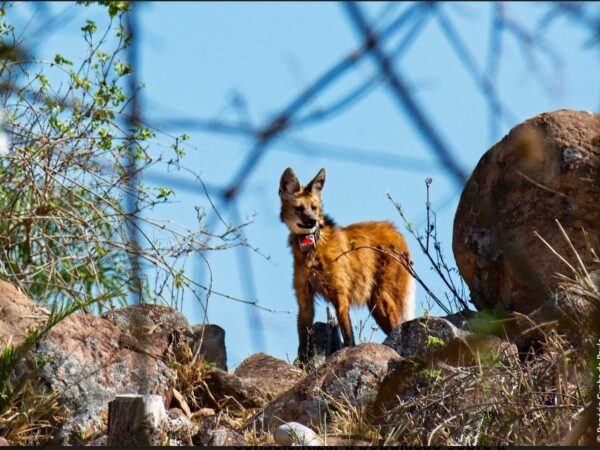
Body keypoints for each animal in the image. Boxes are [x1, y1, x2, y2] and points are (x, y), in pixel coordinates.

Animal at [278, 167, 414, 364]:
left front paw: (347, 355)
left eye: (314, 207)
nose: (312, 221)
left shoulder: (340, 295)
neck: (313, 250)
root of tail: (395, 230)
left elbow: (348, 337)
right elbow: (303, 339)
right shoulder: (304, 299)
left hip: (382, 298)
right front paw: (301, 364)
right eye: (299, 208)